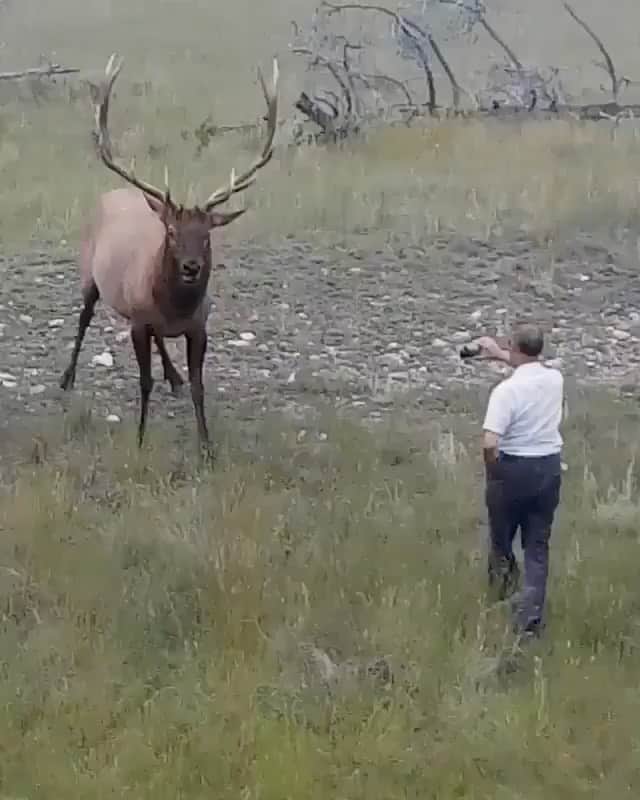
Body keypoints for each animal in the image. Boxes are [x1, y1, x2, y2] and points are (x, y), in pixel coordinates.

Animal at [59, 52, 279, 461]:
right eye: (173, 232)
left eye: (206, 235)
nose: (191, 267)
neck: (174, 307)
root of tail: (113, 193)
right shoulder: (137, 323)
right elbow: (143, 383)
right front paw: (141, 439)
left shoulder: (199, 325)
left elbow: (198, 386)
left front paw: (206, 446)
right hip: (90, 276)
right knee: (83, 317)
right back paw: (67, 377)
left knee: (161, 342)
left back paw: (172, 376)